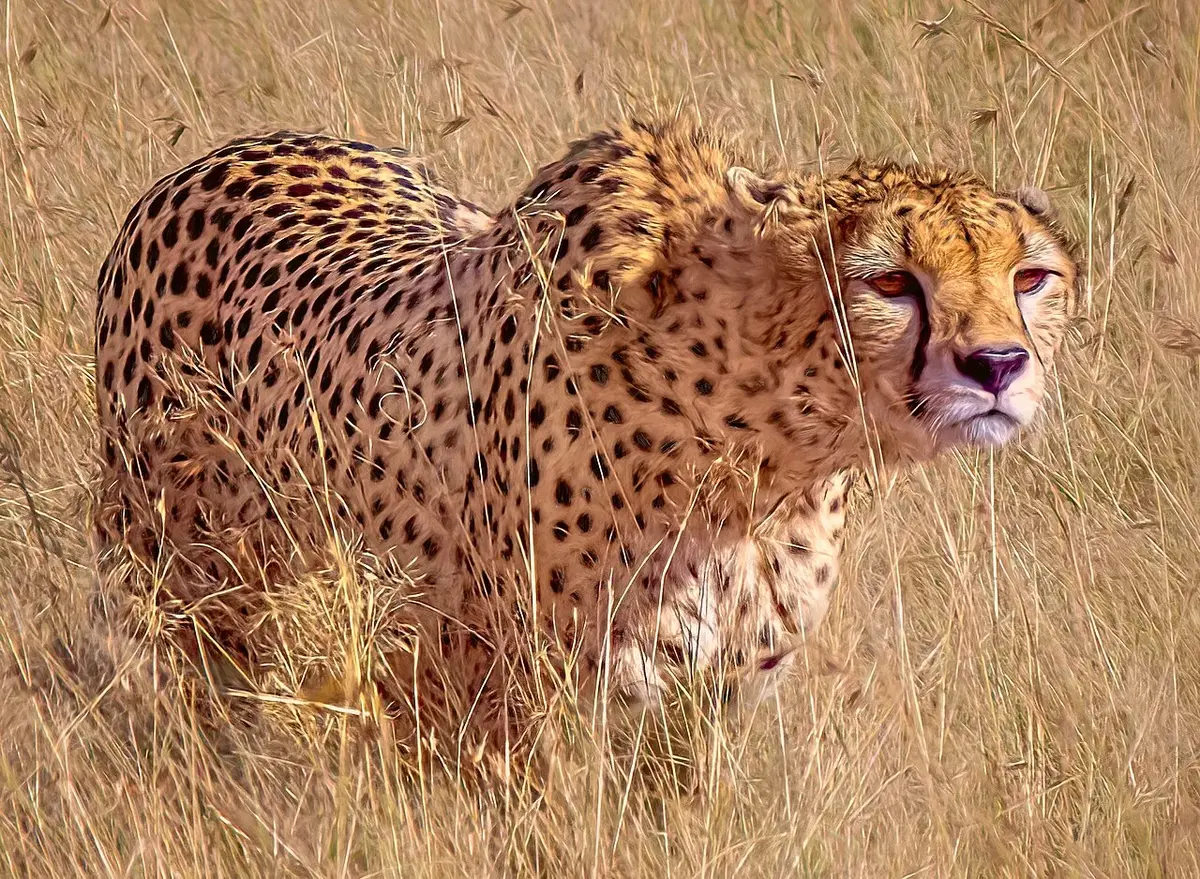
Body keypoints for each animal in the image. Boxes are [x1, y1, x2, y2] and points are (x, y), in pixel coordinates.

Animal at [92, 117, 1076, 753]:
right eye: (891, 283)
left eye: (1030, 277)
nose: (997, 365)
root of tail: (217, 155)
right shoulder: (516, 708)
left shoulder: (700, 712)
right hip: (199, 594)